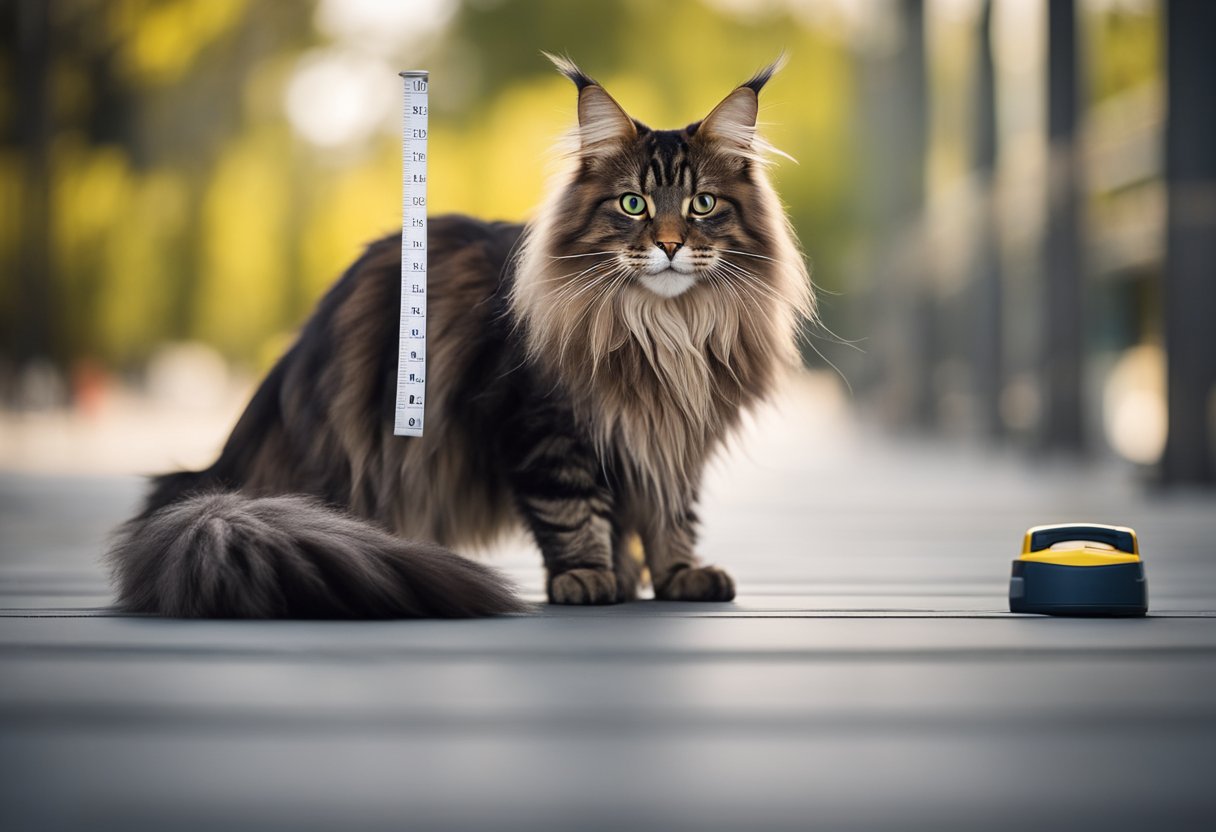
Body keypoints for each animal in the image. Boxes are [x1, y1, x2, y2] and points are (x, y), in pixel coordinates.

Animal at [107, 56, 807, 617]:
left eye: (701, 205)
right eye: (633, 204)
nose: (668, 245)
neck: (666, 331)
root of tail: (217, 480)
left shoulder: (675, 436)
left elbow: (671, 514)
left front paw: (677, 573)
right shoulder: (543, 425)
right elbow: (572, 509)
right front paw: (588, 577)